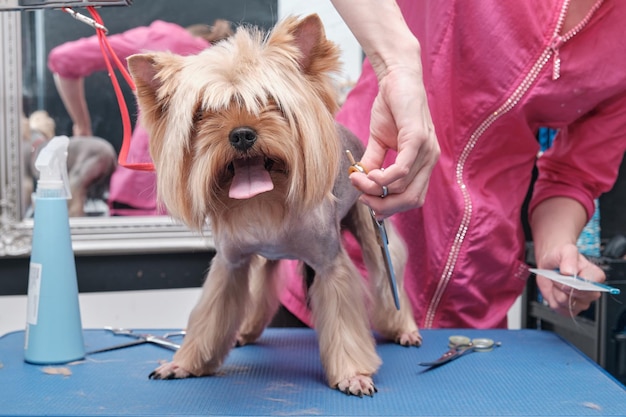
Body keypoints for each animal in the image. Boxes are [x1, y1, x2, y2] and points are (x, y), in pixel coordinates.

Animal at [126, 14, 420, 394]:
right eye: (204, 112)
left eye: (269, 100)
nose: (241, 134)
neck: (265, 200)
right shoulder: (231, 263)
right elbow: (210, 315)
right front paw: (185, 363)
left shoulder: (330, 264)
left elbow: (343, 318)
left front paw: (351, 374)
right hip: (266, 258)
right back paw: (247, 330)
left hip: (369, 224)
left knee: (387, 271)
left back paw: (404, 328)